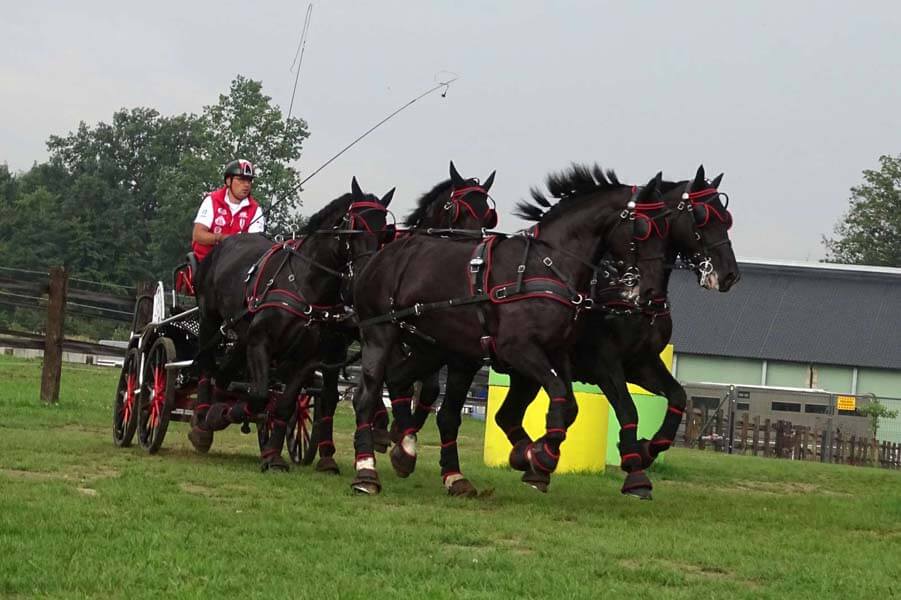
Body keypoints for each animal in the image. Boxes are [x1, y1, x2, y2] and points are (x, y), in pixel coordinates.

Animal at [188, 176, 392, 472]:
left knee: (224, 373)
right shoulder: (261, 342)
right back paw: (203, 418)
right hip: (209, 318)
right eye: (355, 226)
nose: (368, 275)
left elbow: (284, 404)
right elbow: (260, 395)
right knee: (206, 363)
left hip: (243, 333)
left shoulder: (306, 360)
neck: (306, 284)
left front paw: (273, 456)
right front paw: (225, 414)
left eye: (385, 231)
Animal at [306, 161, 496, 474]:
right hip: (337, 338)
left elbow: (428, 389)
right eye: (455, 209)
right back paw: (327, 453)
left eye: (487, 214)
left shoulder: (427, 342)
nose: (472, 256)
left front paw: (401, 432)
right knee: (330, 393)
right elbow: (395, 381)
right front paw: (396, 433)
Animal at [348, 166, 672, 494]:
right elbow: (558, 394)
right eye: (644, 228)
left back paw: (406, 450)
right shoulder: (518, 349)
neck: (546, 266)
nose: (649, 290)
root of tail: (380, 257)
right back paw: (366, 472)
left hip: (432, 346)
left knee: (398, 380)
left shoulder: (556, 352)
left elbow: (568, 405)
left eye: (667, 228)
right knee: (366, 396)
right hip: (380, 334)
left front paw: (531, 455)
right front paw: (540, 455)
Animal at [500, 164, 740, 496]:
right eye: (703, 217)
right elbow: (628, 410)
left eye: (726, 218)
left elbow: (677, 397)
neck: (629, 298)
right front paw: (635, 471)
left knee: (507, 415)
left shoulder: (641, 363)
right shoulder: (605, 363)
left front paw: (647, 449)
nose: (730, 275)